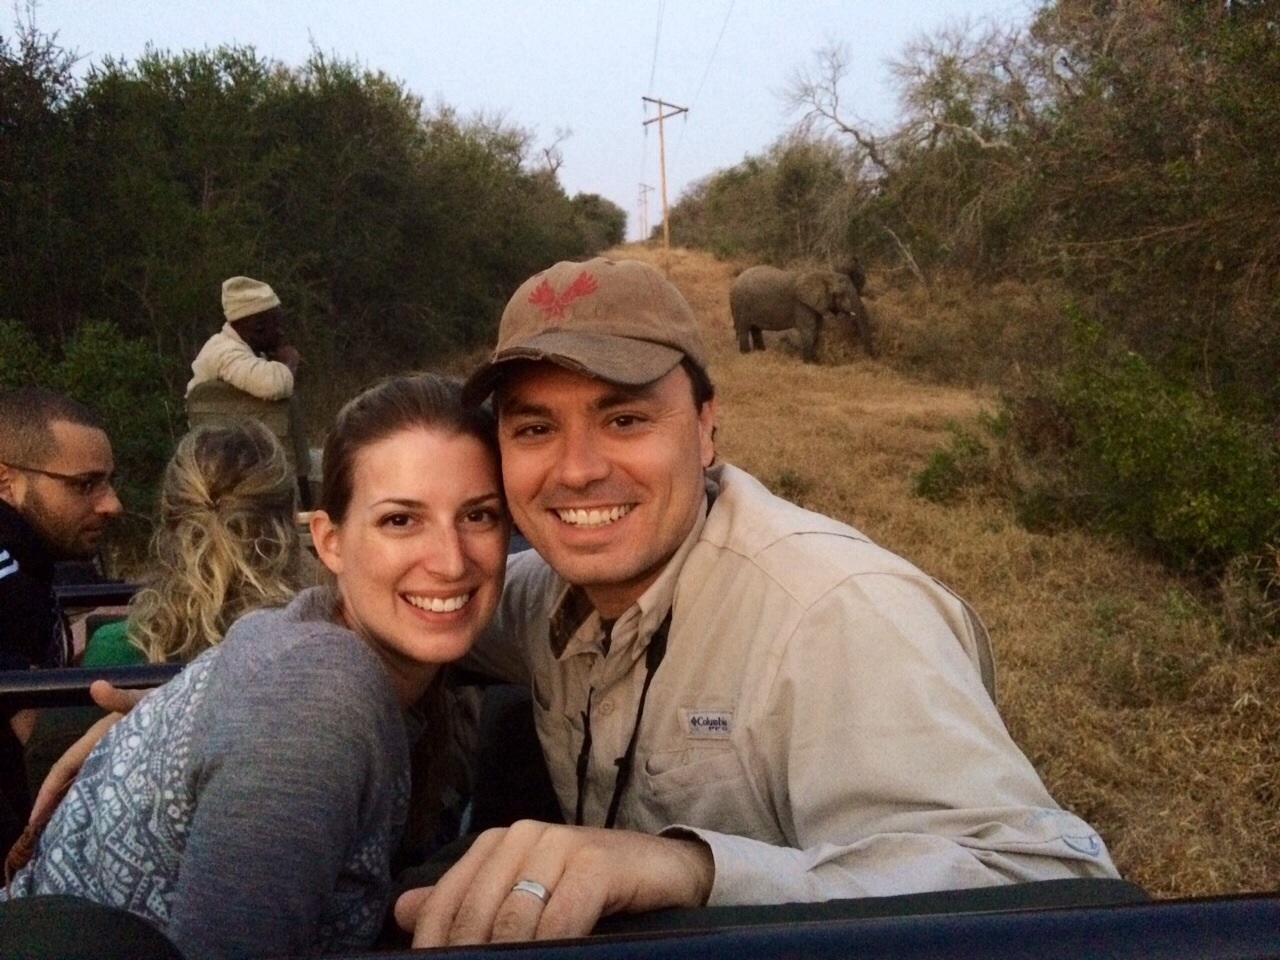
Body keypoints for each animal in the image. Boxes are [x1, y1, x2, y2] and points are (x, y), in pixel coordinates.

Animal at [732, 264, 880, 363]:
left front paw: (816, 361)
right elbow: (809, 330)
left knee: (755, 330)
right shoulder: (802, 305)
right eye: (841, 294)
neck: (823, 274)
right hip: (740, 304)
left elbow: (818, 329)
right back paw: (746, 354)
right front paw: (808, 363)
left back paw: (760, 352)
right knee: (744, 329)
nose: (870, 357)